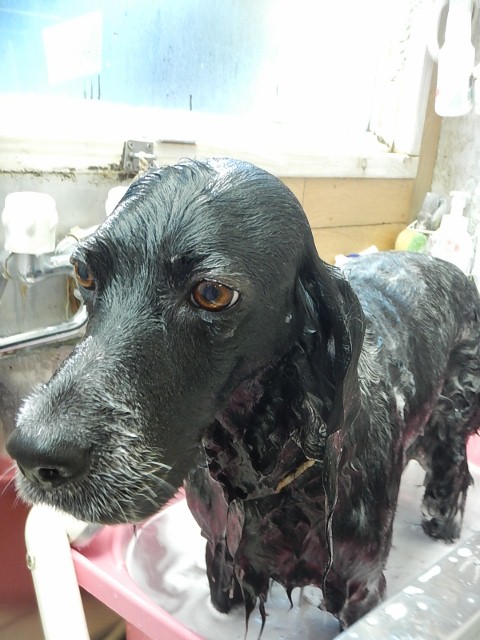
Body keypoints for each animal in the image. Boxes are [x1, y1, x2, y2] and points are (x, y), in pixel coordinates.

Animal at [7, 158, 480, 630]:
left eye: (212, 293)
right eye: (84, 272)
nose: (33, 456)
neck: (265, 471)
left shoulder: (360, 588)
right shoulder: (221, 556)